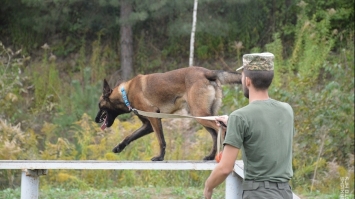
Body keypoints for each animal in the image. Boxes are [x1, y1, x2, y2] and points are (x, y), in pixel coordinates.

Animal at [95, 66, 242, 161]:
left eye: (100, 106)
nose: (96, 119)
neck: (125, 93)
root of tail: (206, 72)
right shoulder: (148, 125)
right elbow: (129, 136)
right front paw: (118, 148)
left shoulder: (154, 118)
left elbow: (161, 141)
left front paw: (160, 157)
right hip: (201, 115)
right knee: (215, 133)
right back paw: (211, 156)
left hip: (200, 114)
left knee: (221, 129)